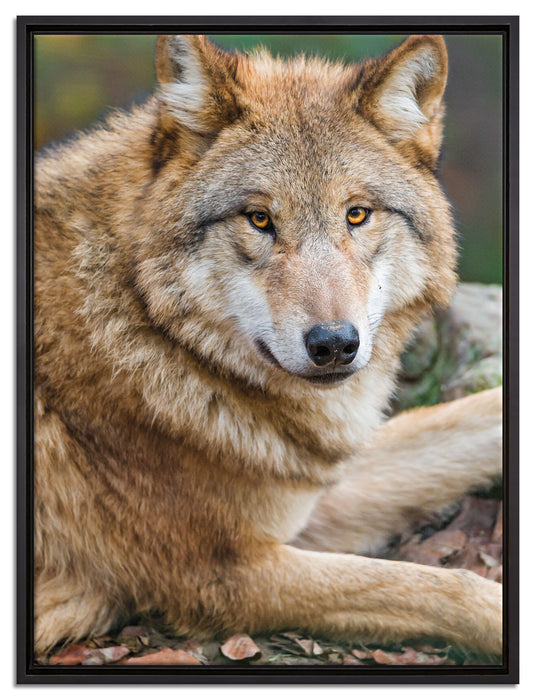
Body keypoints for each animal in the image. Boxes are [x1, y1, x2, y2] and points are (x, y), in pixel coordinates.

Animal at [34, 34, 503, 657]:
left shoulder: (307, 491)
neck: (149, 329)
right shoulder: (225, 574)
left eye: (357, 214)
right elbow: (441, 586)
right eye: (259, 219)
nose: (334, 344)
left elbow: (474, 416)